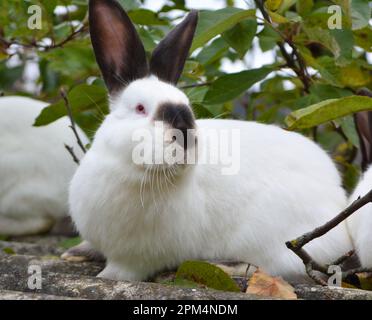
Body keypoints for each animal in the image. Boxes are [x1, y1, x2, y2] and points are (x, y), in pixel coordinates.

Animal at [67, 0, 354, 280]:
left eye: (187, 107)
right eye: (140, 108)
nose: (184, 133)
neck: (131, 172)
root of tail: (339, 200)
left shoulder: (139, 258)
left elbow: (124, 271)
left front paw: (105, 275)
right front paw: (77, 252)